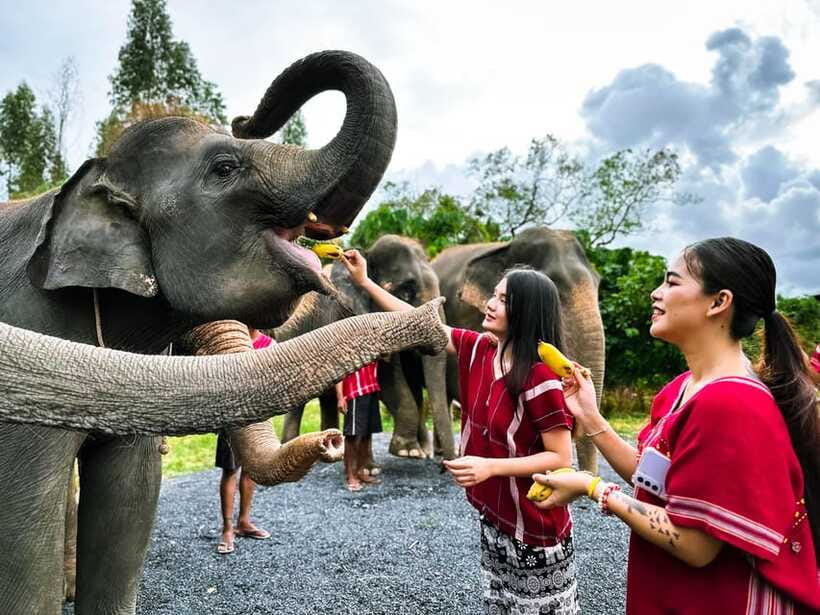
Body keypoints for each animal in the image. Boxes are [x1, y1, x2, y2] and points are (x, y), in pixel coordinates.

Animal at [277, 234, 455, 461]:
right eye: (406, 290)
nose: (443, 461)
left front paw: (417, 452)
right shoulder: (347, 316)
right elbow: (387, 379)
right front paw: (408, 450)